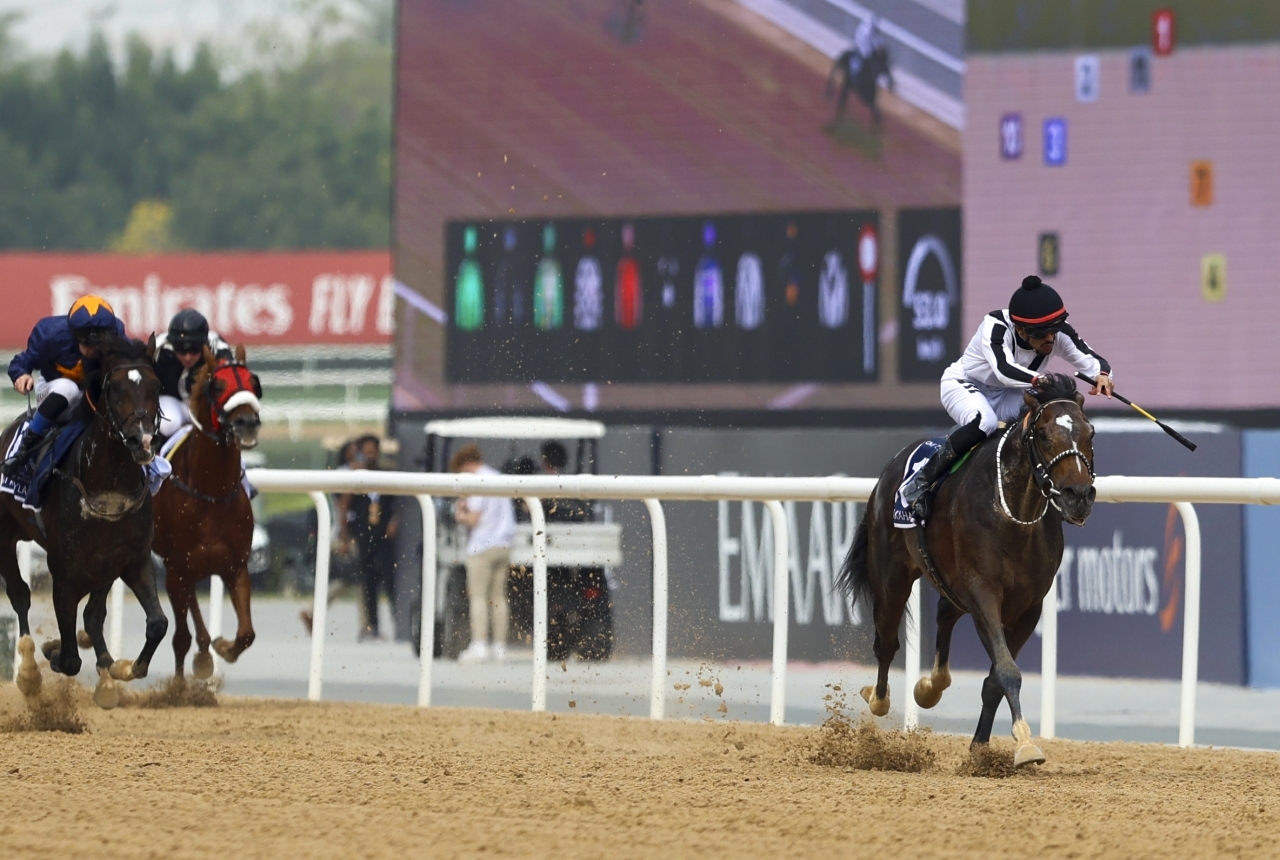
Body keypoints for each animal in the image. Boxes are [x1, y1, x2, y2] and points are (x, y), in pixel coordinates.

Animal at [0, 332, 168, 706]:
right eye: (115, 388)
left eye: (156, 386)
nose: (142, 441)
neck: (109, 484)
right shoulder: (63, 566)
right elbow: (70, 657)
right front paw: (52, 651)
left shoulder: (130, 558)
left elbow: (156, 623)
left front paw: (122, 668)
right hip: (3, 534)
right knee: (19, 595)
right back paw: (29, 670)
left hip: (103, 564)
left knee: (92, 615)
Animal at [149, 345, 259, 680]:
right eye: (219, 386)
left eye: (253, 381)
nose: (247, 423)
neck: (211, 495)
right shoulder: (175, 569)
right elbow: (179, 638)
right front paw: (178, 687)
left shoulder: (235, 566)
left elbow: (246, 634)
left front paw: (222, 647)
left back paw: (205, 652)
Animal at [834, 373, 1095, 767]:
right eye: (1045, 435)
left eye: (1090, 433)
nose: (1077, 496)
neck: (1012, 512)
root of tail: (892, 467)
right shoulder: (984, 591)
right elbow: (1006, 670)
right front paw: (1026, 744)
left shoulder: (1028, 606)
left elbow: (995, 678)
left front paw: (981, 747)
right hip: (891, 577)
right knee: (886, 643)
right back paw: (878, 698)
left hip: (952, 582)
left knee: (944, 612)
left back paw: (930, 687)